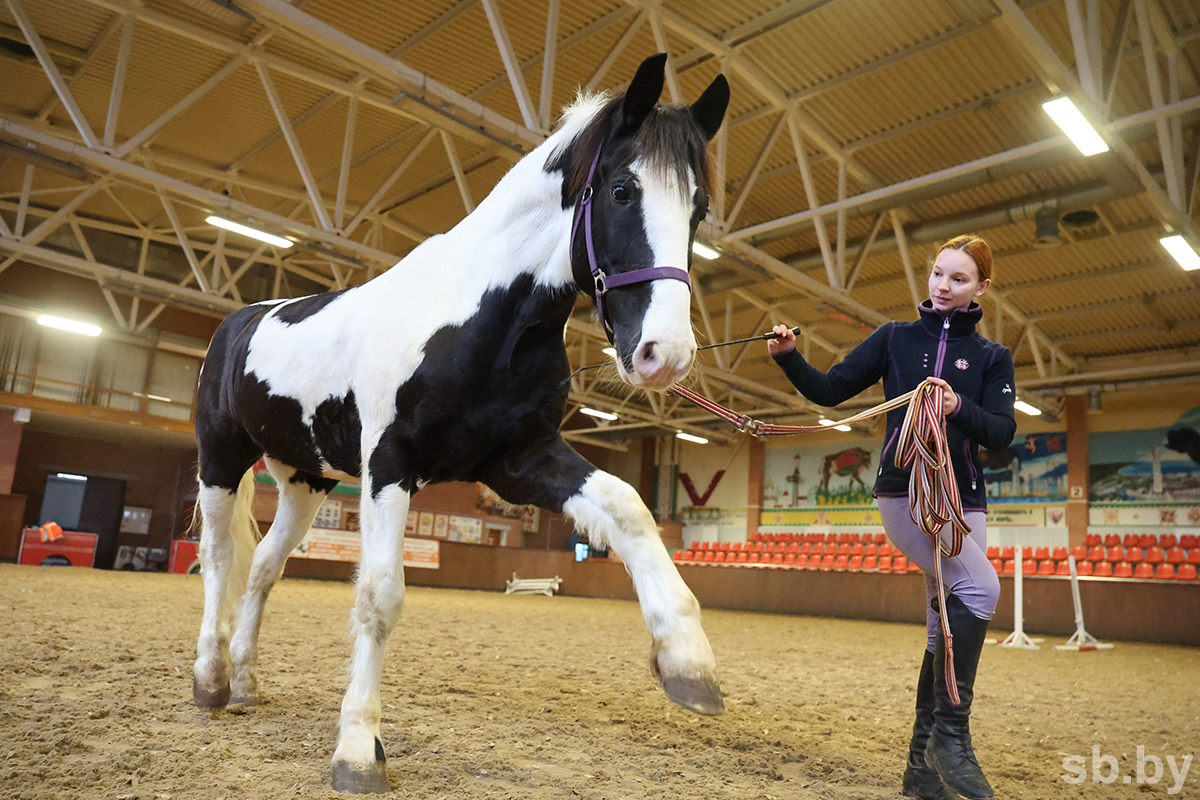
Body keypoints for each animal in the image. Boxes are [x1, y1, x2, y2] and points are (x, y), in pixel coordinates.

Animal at [191, 53, 729, 794]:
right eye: (622, 191)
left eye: (697, 208)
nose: (664, 355)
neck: (483, 318)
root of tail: (243, 318)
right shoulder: (389, 468)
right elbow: (380, 596)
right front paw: (357, 750)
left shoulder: (521, 459)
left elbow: (628, 508)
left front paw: (687, 663)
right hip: (220, 459)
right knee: (219, 560)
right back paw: (211, 681)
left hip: (303, 482)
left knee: (264, 568)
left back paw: (244, 680)